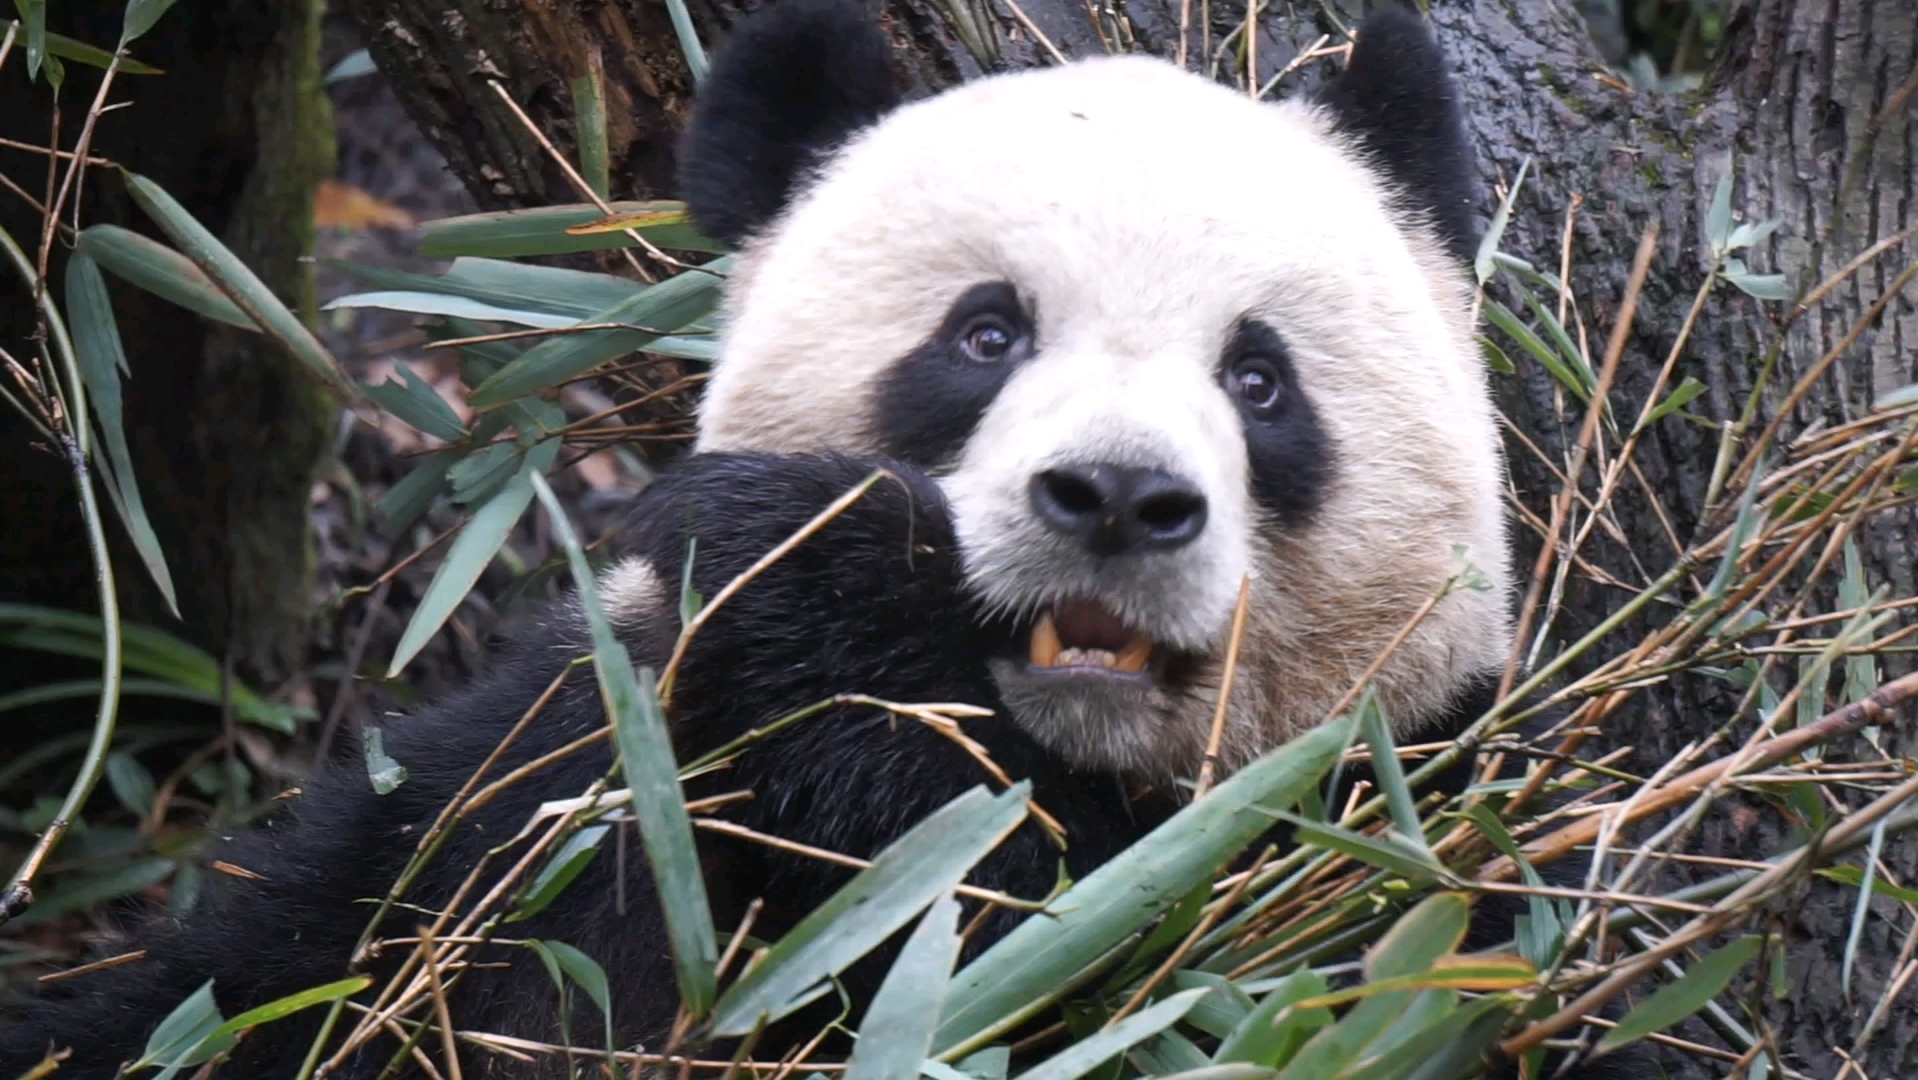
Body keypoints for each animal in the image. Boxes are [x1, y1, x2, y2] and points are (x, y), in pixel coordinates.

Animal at [0, 0, 1649, 1074]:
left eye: (1259, 380)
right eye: (983, 334)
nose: (1115, 499)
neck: (1057, 749)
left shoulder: (1417, 853)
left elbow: (1097, 963)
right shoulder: (563, 773)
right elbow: (268, 980)